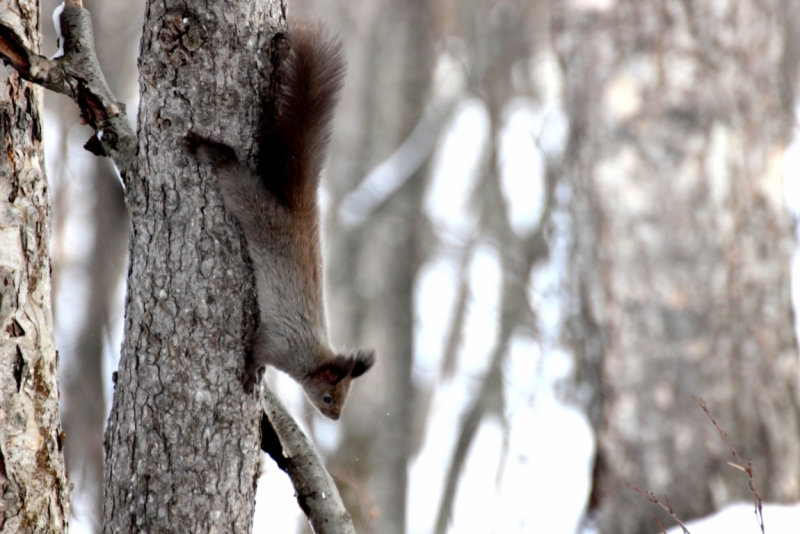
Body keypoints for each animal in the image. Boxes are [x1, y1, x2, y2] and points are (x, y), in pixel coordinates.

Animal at [184, 24, 376, 422]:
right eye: (329, 397)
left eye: (343, 399)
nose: (335, 418)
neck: (311, 356)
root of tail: (299, 214)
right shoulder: (279, 343)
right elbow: (256, 351)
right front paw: (248, 375)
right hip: (255, 209)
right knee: (231, 172)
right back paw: (211, 153)